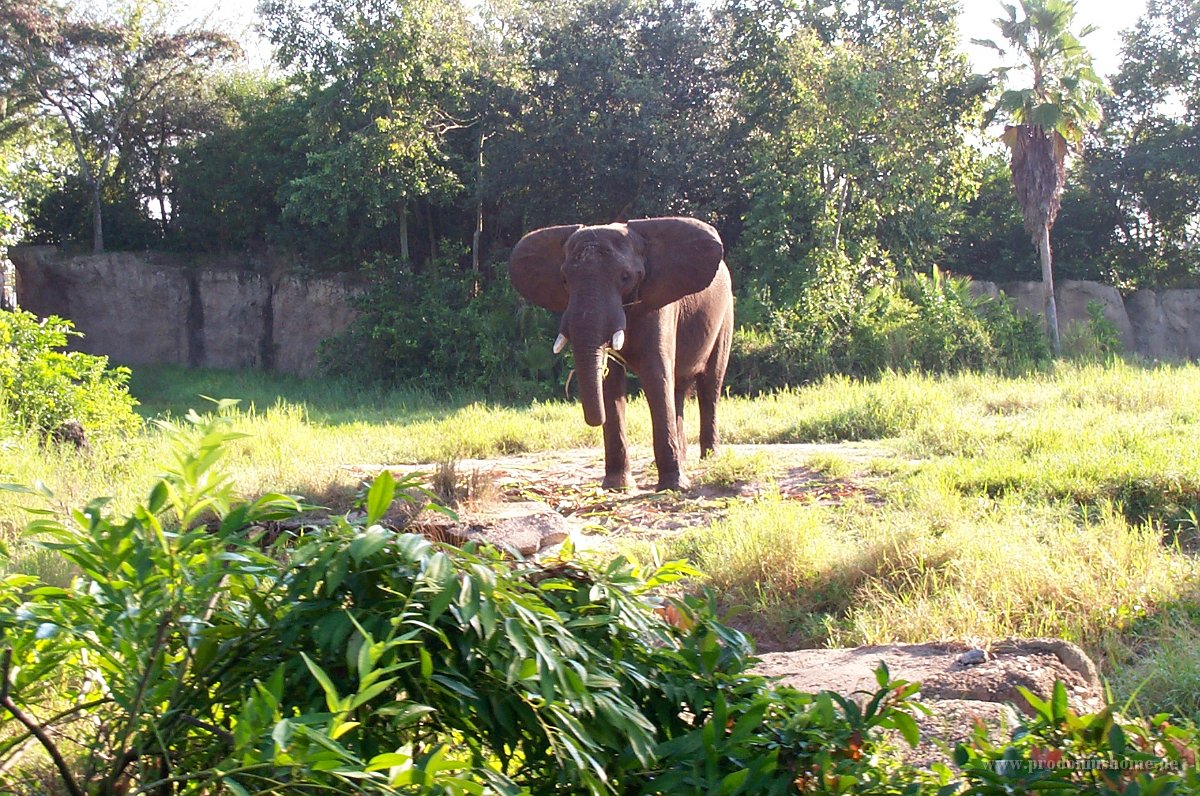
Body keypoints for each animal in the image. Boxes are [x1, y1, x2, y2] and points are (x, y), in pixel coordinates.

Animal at [506, 216, 729, 492]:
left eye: (625, 277)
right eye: (565, 280)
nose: (593, 420)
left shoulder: (660, 304)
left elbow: (656, 376)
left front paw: (673, 487)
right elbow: (610, 383)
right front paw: (616, 486)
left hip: (726, 314)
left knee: (710, 385)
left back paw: (709, 458)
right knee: (677, 389)